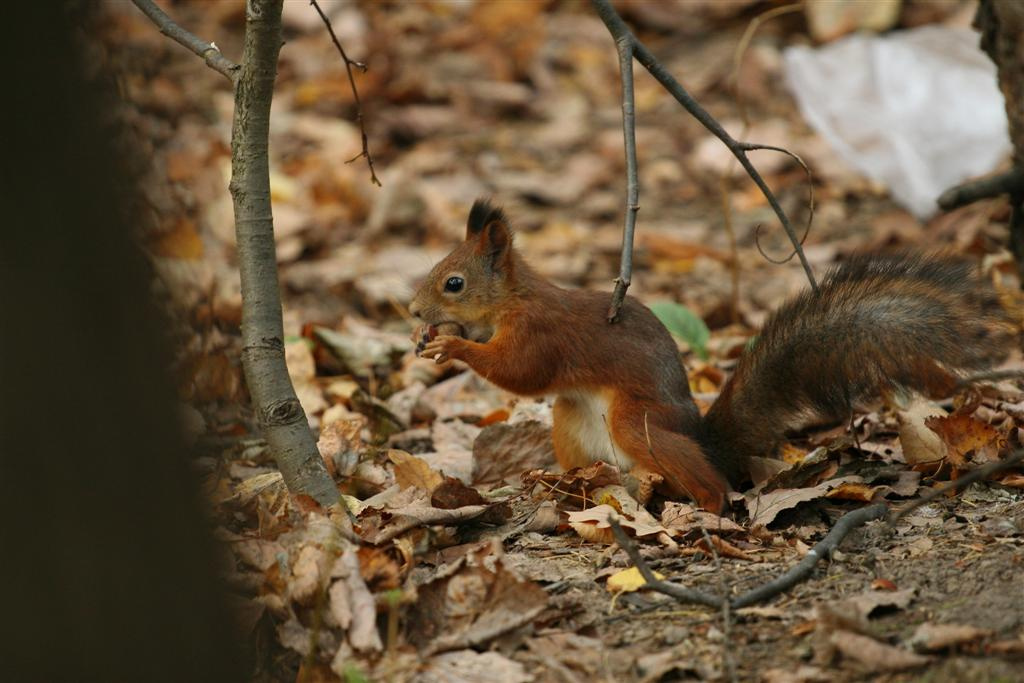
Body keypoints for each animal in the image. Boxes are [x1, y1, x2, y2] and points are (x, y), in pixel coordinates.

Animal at [409, 199, 1015, 512]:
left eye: (454, 283)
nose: (414, 311)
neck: (514, 299)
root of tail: (704, 439)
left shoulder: (542, 333)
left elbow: (521, 372)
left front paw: (452, 344)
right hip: (571, 421)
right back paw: (567, 484)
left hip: (636, 419)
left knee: (710, 482)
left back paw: (704, 510)